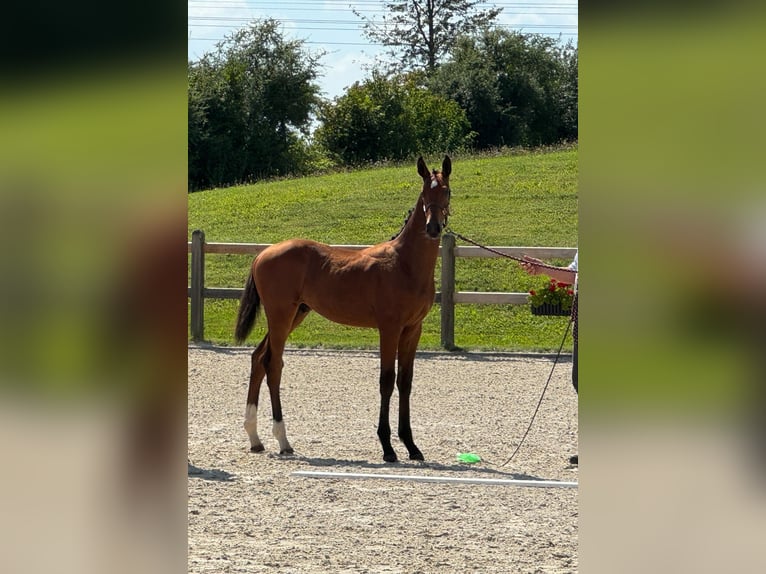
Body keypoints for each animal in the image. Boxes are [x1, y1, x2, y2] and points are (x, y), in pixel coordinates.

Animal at [231, 155, 452, 462]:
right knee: (272, 364)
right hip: (281, 315)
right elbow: (387, 380)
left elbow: (405, 382)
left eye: (447, 191)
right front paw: (387, 448)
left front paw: (411, 446)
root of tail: (263, 253)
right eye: (423, 193)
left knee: (257, 358)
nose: (433, 228)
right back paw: (283, 440)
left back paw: (255, 438)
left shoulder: (412, 329)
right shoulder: (389, 328)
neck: (404, 263)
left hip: (295, 315)